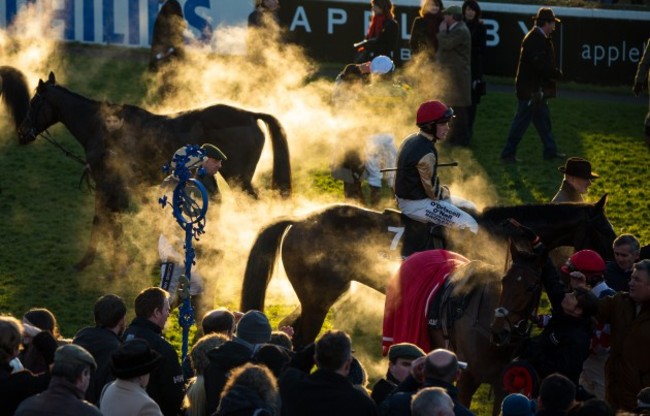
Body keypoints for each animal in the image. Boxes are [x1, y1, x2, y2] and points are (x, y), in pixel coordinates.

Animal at [17, 71, 292, 272]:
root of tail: (250, 115)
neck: (103, 129)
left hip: (239, 180)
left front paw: (96, 262)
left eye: (34, 102)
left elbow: (103, 220)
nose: (22, 133)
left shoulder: (107, 183)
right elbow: (110, 220)